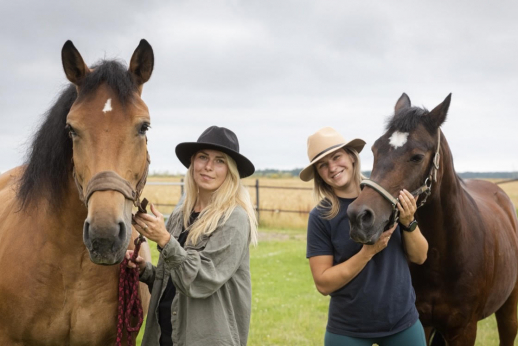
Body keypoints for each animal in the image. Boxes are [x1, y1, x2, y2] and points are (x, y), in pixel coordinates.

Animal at [348, 93, 518, 344]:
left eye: (417, 157)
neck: (443, 254)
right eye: (375, 149)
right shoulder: (423, 323)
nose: (359, 217)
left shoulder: (464, 329)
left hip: (509, 307)